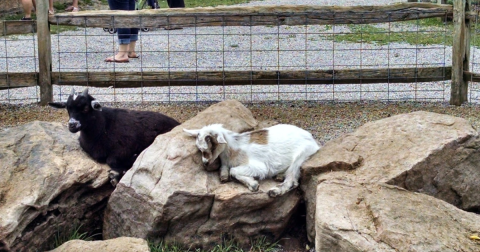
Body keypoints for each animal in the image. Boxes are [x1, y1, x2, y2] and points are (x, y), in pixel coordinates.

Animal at [49, 88, 180, 185]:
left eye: (85, 108)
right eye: (67, 108)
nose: (72, 125)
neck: (104, 127)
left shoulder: (123, 148)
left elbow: (111, 160)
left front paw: (116, 175)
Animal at [184, 124, 318, 197]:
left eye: (210, 147)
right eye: (200, 149)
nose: (205, 163)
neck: (233, 148)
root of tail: (313, 141)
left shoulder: (260, 167)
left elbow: (234, 170)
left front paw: (253, 185)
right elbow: (226, 169)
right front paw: (224, 176)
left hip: (301, 155)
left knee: (292, 181)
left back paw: (274, 191)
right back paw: (279, 176)